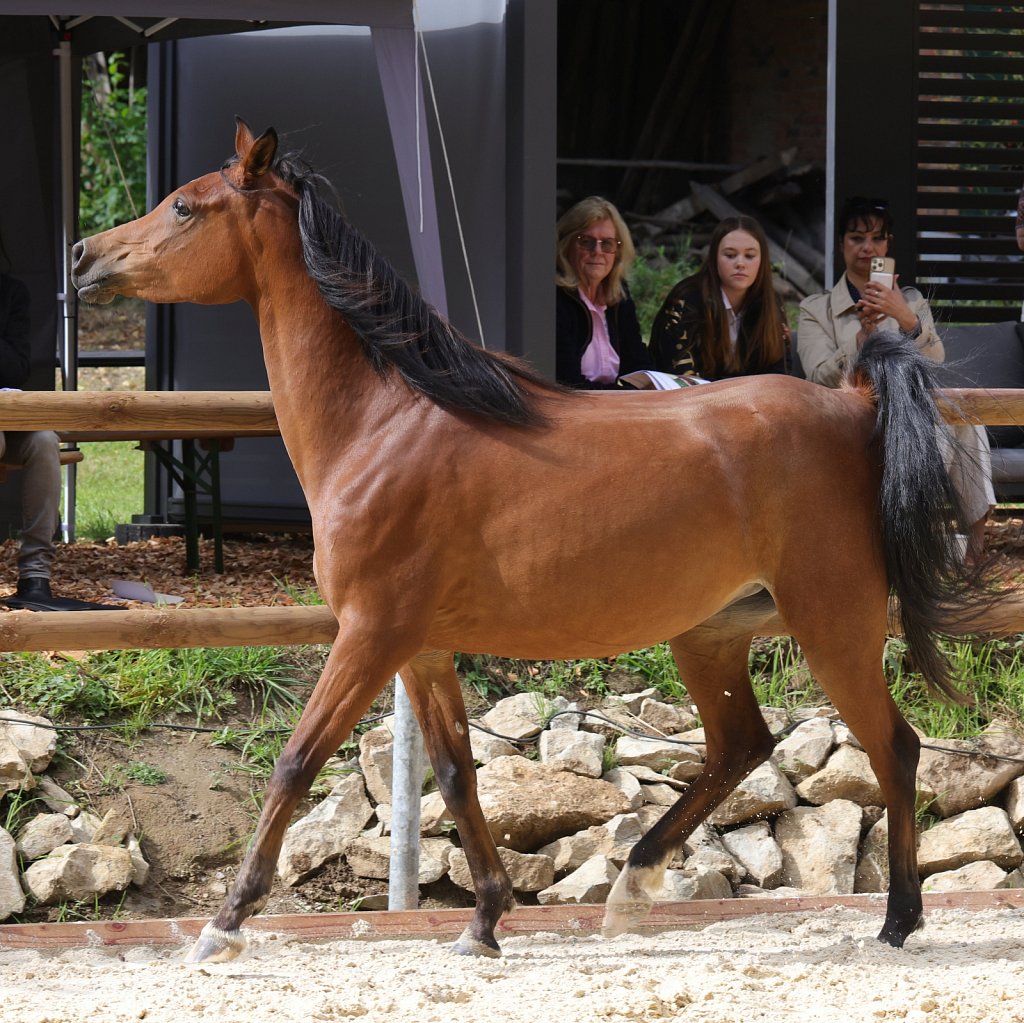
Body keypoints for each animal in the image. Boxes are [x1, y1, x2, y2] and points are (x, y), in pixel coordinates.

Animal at [72, 118, 990, 965]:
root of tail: (854, 399)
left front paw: (223, 925)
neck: (382, 423)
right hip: (711, 633)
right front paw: (483, 920)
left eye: (185, 204)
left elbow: (296, 762)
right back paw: (631, 889)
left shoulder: (368, 634)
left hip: (832, 620)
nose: (84, 255)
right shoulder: (419, 647)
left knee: (894, 747)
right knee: (741, 746)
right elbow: (454, 773)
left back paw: (897, 919)